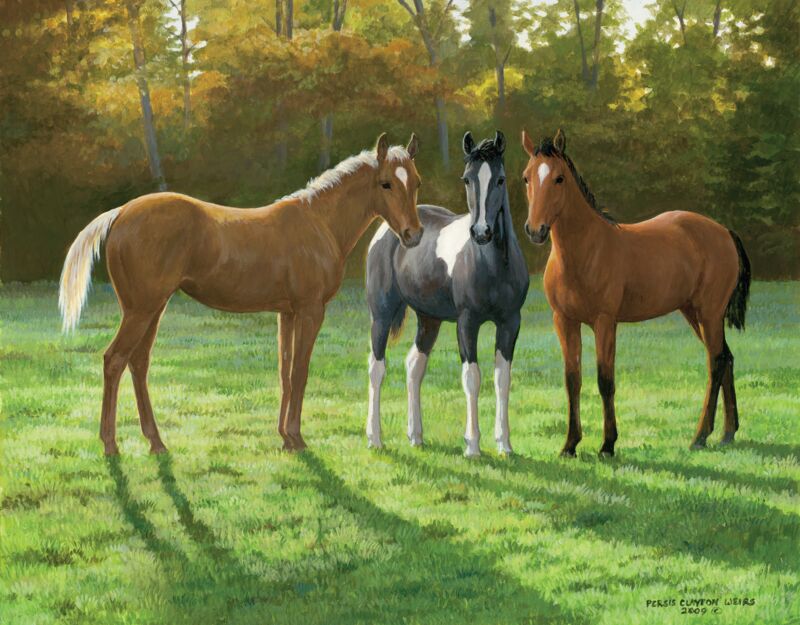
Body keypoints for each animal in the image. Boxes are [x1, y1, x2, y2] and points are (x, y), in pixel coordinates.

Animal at [59, 133, 424, 455]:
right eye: (386, 183)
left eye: (416, 183)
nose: (414, 235)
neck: (319, 222)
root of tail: (120, 212)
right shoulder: (310, 310)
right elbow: (300, 372)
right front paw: (297, 438)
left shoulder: (287, 313)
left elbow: (285, 372)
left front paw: (285, 438)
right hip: (142, 310)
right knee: (114, 360)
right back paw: (110, 445)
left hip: (152, 308)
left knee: (138, 362)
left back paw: (156, 443)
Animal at [365, 130, 529, 457]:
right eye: (467, 179)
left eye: (500, 179)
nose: (481, 232)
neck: (491, 265)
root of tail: (391, 230)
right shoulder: (467, 322)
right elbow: (472, 378)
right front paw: (473, 446)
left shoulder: (510, 322)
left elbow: (502, 378)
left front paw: (504, 445)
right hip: (382, 314)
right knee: (376, 367)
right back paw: (375, 438)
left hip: (429, 319)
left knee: (414, 365)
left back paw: (416, 436)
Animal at [521, 128, 751, 457]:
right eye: (527, 177)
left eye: (559, 178)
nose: (535, 230)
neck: (585, 250)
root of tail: (724, 232)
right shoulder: (564, 321)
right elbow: (572, 380)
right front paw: (570, 445)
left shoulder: (605, 322)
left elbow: (605, 380)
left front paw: (607, 445)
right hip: (694, 313)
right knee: (726, 358)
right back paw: (727, 433)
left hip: (709, 314)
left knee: (716, 362)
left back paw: (700, 436)